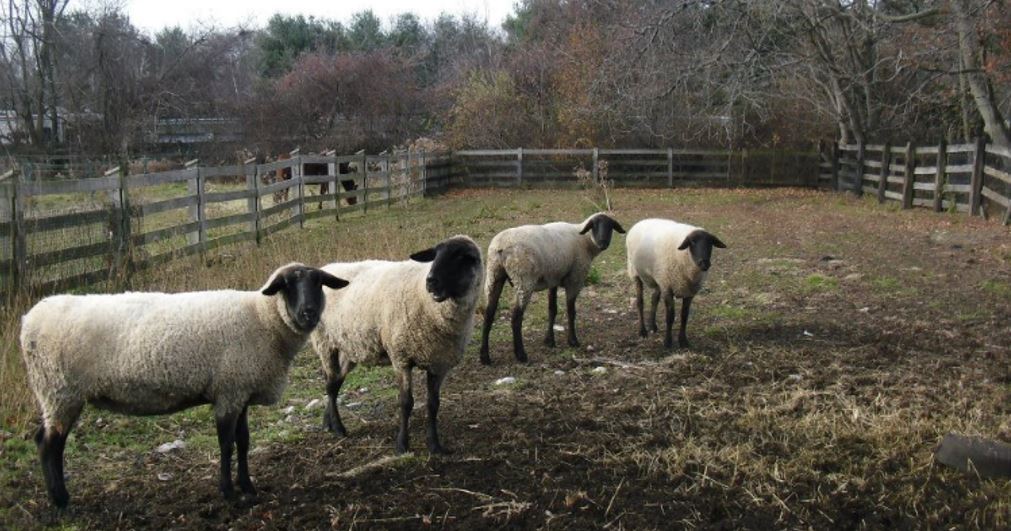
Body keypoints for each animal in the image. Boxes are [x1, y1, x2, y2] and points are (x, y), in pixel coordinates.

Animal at [19, 263, 349, 508]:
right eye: (287, 285)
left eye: (319, 283)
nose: (308, 313)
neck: (262, 317)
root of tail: (29, 320)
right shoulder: (228, 392)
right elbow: (226, 445)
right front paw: (229, 492)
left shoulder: (240, 389)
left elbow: (244, 442)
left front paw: (248, 487)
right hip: (59, 390)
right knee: (49, 444)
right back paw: (60, 500)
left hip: (57, 394)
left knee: (47, 441)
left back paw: (59, 496)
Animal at [311, 235, 483, 454]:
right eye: (435, 255)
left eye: (462, 257)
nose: (431, 282)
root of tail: (327, 268)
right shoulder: (401, 357)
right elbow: (406, 402)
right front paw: (402, 445)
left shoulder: (439, 363)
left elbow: (433, 404)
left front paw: (435, 445)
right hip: (325, 342)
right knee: (331, 386)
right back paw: (339, 428)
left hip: (349, 348)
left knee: (334, 382)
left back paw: (329, 424)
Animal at [479, 213, 625, 365]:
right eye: (594, 225)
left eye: (610, 226)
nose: (603, 243)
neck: (585, 241)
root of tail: (500, 245)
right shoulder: (575, 279)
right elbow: (571, 311)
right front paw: (573, 341)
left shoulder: (553, 279)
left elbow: (552, 310)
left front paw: (549, 341)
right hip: (524, 279)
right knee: (516, 318)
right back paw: (521, 355)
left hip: (493, 275)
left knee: (488, 315)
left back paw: (485, 357)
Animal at [625, 218, 726, 349]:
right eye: (692, 242)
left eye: (711, 243)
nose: (704, 263)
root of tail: (641, 221)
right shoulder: (668, 288)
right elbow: (670, 317)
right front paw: (667, 342)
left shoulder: (688, 291)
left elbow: (684, 316)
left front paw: (683, 341)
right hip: (635, 272)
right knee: (640, 302)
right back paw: (642, 331)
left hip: (659, 277)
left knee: (654, 298)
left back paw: (652, 326)